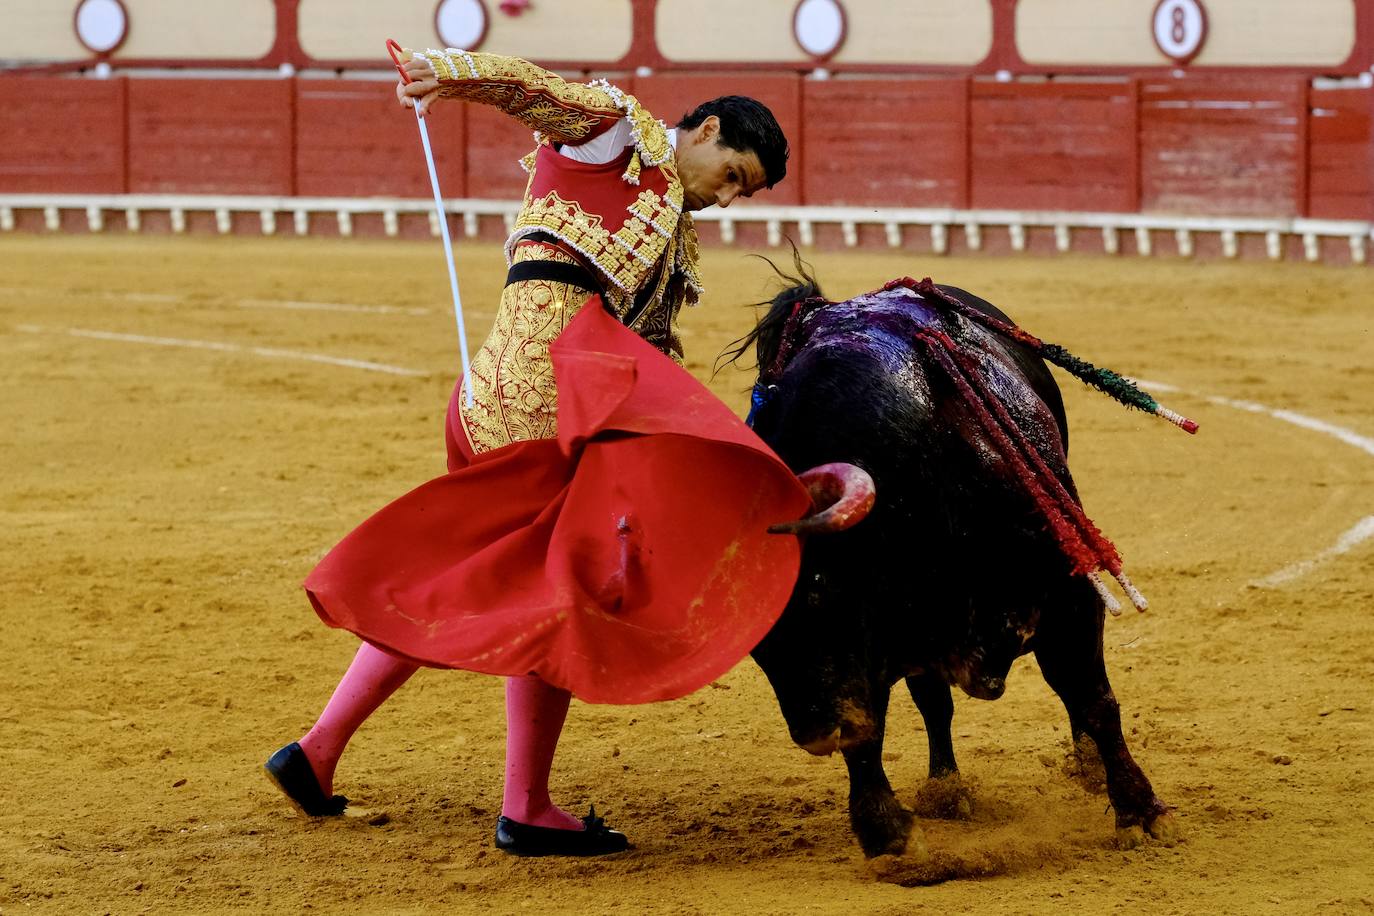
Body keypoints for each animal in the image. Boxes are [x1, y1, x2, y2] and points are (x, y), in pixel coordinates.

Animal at [730, 263, 1192, 862]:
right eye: (754, 640)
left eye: (817, 590)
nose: (815, 735)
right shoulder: (884, 642)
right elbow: (875, 728)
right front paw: (888, 834)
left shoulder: (1067, 595)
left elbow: (1092, 697)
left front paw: (1141, 812)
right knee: (933, 705)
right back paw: (945, 789)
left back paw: (1087, 765)